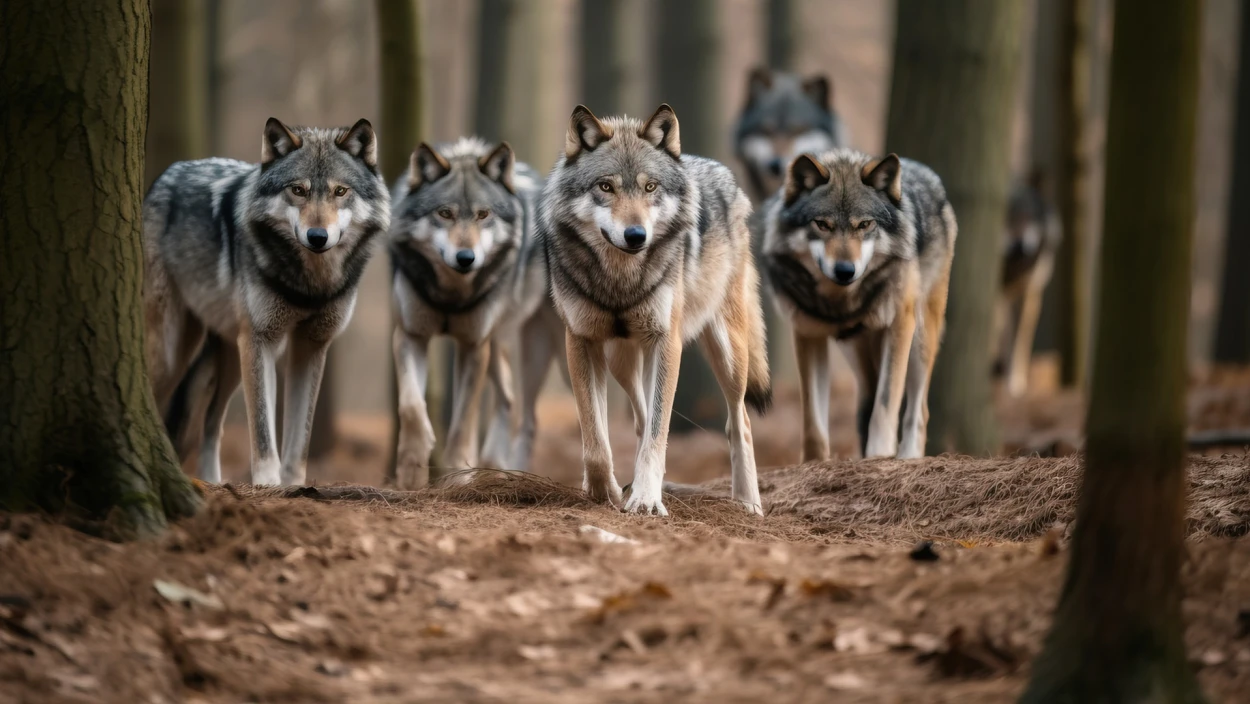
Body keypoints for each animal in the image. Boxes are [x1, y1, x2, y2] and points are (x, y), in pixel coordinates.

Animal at [144, 117, 388, 486]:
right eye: (298, 190)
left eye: (340, 191)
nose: (318, 237)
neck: (309, 286)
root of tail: (165, 175)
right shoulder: (261, 341)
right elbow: (262, 431)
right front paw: (268, 484)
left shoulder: (311, 346)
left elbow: (299, 440)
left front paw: (294, 487)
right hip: (175, 352)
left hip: (229, 358)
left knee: (211, 425)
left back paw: (212, 480)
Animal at [389, 138, 563, 489]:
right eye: (445, 213)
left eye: (484, 215)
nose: (466, 257)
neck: (452, 296)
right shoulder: (410, 336)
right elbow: (412, 407)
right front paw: (412, 470)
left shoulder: (472, 346)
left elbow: (463, 422)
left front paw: (457, 477)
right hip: (503, 346)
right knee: (513, 403)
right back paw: (499, 467)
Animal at [541, 103, 772, 516]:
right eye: (606, 187)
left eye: (650, 188)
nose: (636, 236)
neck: (620, 280)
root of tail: (720, 170)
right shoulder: (581, 340)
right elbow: (595, 438)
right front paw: (604, 491)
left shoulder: (666, 341)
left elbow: (657, 430)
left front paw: (647, 500)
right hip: (622, 360)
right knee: (639, 417)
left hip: (726, 352)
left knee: (738, 422)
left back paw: (748, 503)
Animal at [761, 148, 956, 460]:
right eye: (822, 224)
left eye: (864, 224)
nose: (844, 270)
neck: (841, 303)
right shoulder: (807, 334)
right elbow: (812, 420)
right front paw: (814, 462)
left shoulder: (900, 325)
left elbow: (886, 404)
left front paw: (880, 455)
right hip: (855, 352)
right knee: (867, 398)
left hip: (920, 339)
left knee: (918, 411)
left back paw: (908, 456)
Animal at [995, 173, 1061, 397]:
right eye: (1005, 215)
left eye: (1028, 215)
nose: (1018, 245)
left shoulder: (1028, 294)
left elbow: (1018, 342)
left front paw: (1015, 382)